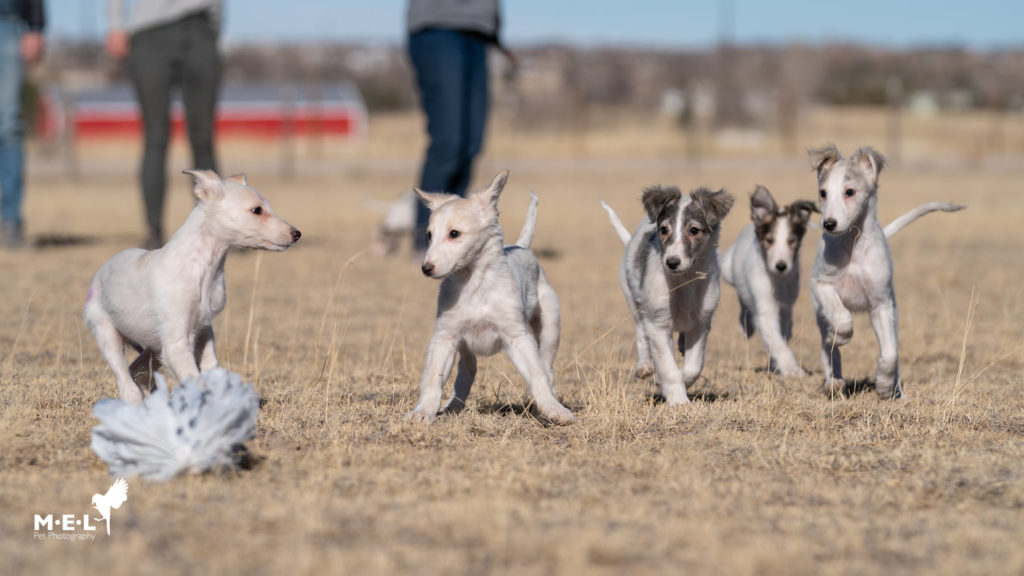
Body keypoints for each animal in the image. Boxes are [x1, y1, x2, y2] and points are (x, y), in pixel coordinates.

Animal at [83, 170, 299, 401]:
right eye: (257, 210)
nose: (297, 234)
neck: (203, 269)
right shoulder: (177, 344)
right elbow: (194, 379)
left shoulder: (202, 328)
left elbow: (211, 366)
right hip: (107, 333)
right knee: (126, 381)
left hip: (154, 346)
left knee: (137, 369)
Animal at [407, 168, 573, 424]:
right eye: (429, 235)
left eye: (454, 233)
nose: (426, 268)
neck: (474, 286)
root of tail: (521, 246)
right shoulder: (445, 337)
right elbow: (433, 378)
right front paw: (423, 411)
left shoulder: (517, 336)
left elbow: (537, 376)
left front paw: (554, 409)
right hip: (464, 346)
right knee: (468, 371)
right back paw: (453, 405)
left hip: (549, 329)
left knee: (547, 369)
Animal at [598, 184, 737, 403]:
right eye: (664, 230)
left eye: (694, 230)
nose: (671, 262)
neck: (683, 282)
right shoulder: (658, 323)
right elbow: (668, 368)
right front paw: (678, 400)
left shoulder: (701, 322)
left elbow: (693, 366)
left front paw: (682, 384)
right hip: (635, 301)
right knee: (641, 332)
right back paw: (645, 365)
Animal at [720, 184, 815, 377]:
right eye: (769, 240)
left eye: (792, 241)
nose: (781, 266)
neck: (777, 281)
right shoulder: (765, 312)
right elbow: (779, 344)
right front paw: (792, 370)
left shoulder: (785, 309)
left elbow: (781, 339)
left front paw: (776, 365)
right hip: (727, 269)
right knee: (742, 299)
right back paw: (745, 326)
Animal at [806, 143, 966, 397]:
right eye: (823, 193)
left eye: (849, 192)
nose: (828, 224)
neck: (853, 245)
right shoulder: (821, 283)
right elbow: (843, 320)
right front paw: (839, 336)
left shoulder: (882, 305)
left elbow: (890, 353)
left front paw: (882, 384)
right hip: (820, 313)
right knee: (827, 348)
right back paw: (834, 379)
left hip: (893, 315)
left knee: (893, 350)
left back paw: (896, 389)